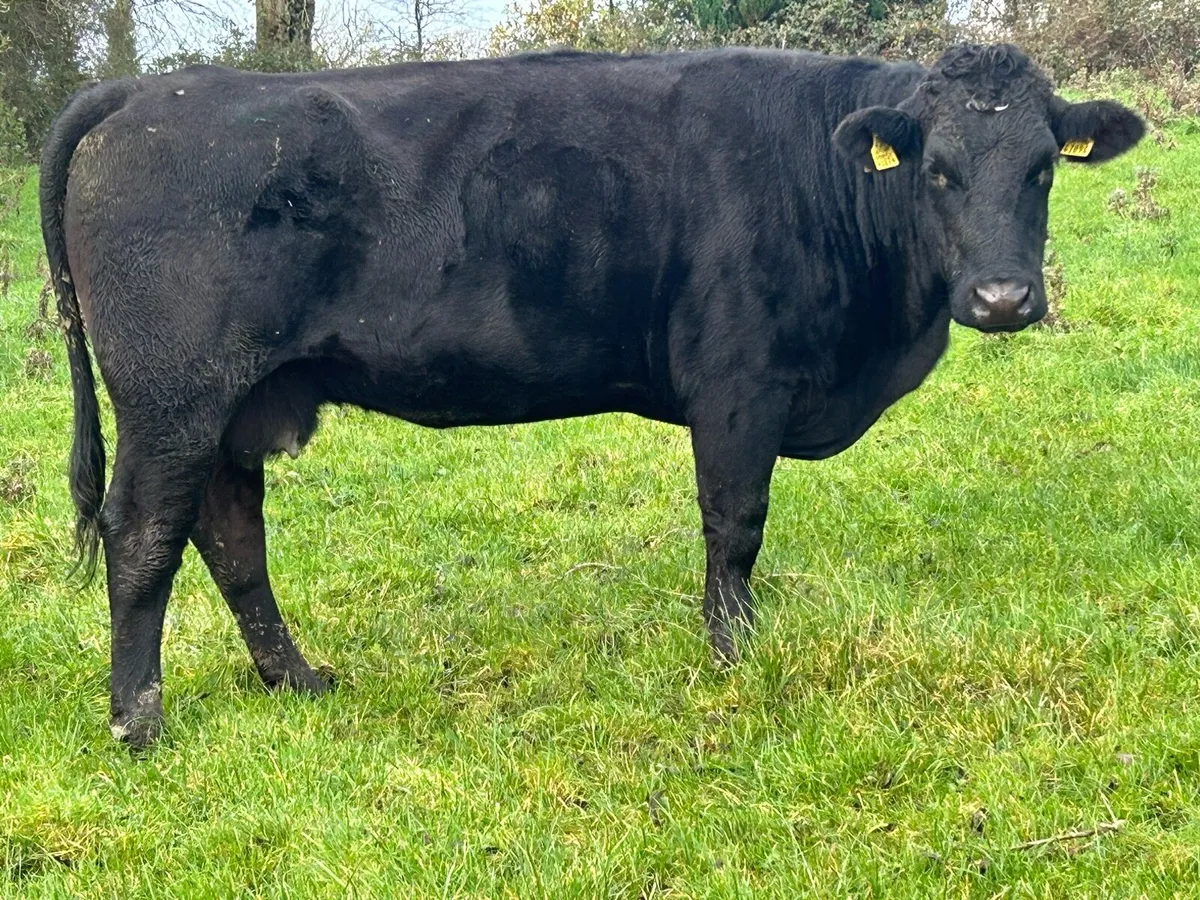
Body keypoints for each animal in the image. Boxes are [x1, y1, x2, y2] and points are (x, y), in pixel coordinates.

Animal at [40, 43, 1143, 747]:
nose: (1002, 299)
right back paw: (138, 722)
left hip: (237, 406)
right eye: (938, 172)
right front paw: (734, 655)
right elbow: (734, 523)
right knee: (145, 536)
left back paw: (298, 682)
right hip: (173, 401)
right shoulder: (740, 383)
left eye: (1042, 170)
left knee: (231, 537)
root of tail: (145, 93)